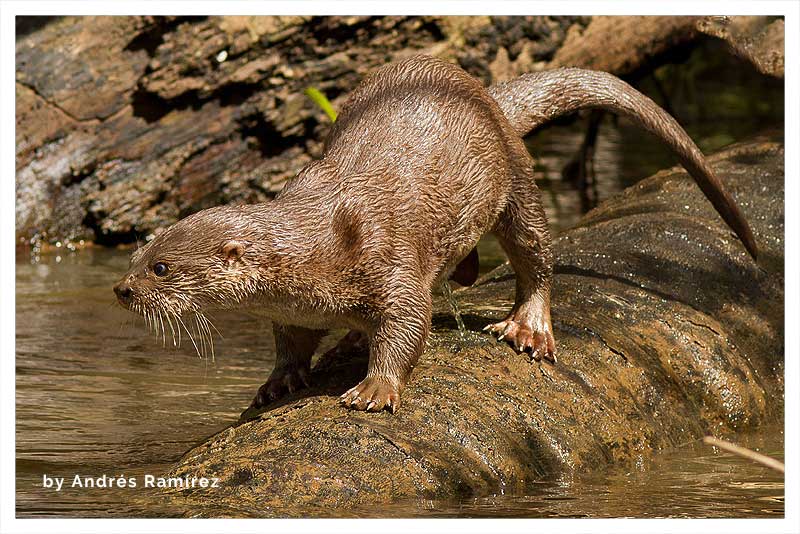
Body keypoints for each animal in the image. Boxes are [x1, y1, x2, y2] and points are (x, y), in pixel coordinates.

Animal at [112, 55, 756, 414]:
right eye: (141, 252)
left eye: (162, 268)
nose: (122, 289)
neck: (317, 248)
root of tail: (488, 96)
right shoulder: (295, 310)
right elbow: (291, 340)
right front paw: (279, 380)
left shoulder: (385, 259)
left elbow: (406, 324)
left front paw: (375, 390)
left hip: (516, 183)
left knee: (536, 256)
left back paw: (528, 329)